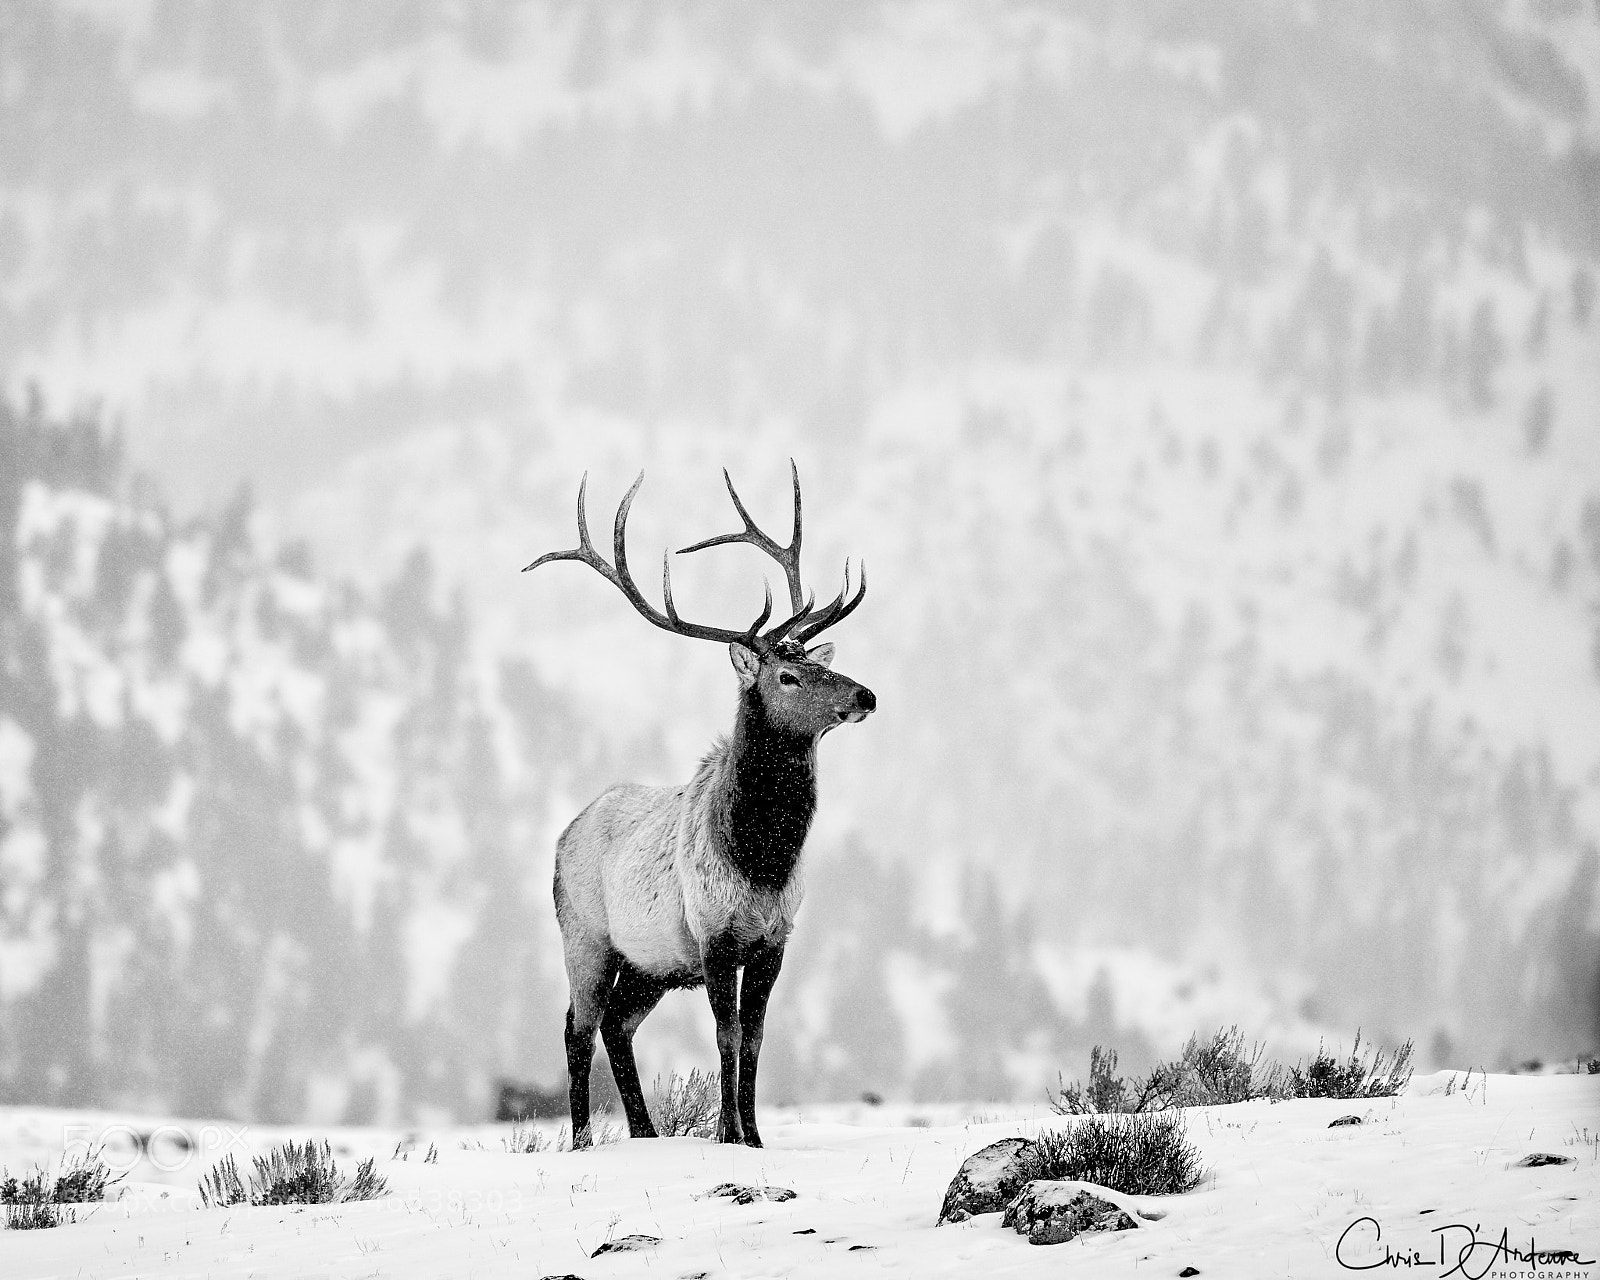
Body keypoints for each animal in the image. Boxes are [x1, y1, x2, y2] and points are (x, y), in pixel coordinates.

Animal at [522, 463, 874, 1148]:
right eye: (787, 676)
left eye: (816, 664)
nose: (866, 695)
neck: (760, 857)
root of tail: (563, 833)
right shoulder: (714, 935)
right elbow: (727, 1034)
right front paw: (728, 1135)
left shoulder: (773, 937)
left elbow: (757, 1039)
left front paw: (756, 1136)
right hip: (584, 935)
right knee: (578, 1026)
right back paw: (581, 1140)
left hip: (651, 963)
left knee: (617, 1025)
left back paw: (645, 1133)